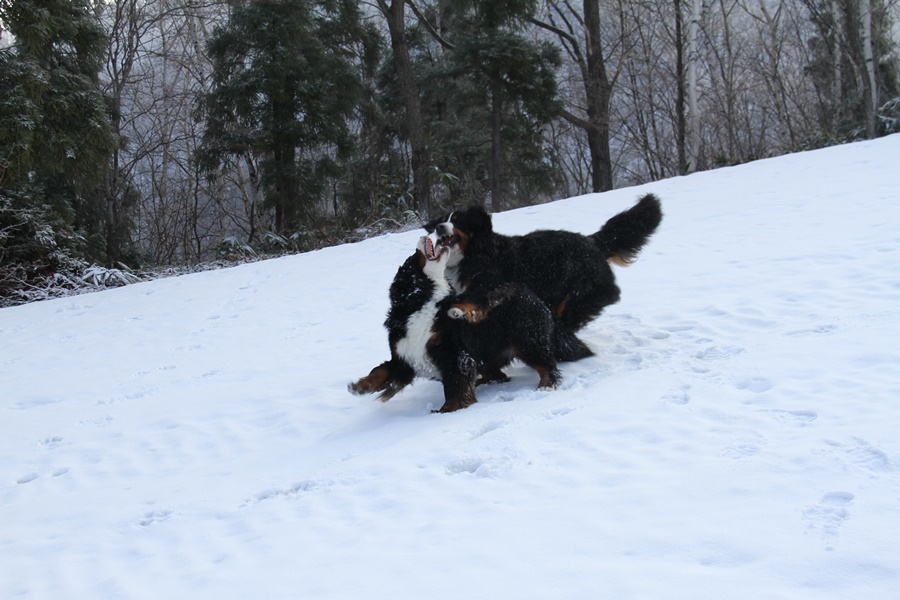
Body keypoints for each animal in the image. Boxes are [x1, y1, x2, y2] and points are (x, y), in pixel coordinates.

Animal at [348, 234, 560, 412]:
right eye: (413, 258)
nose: (423, 235)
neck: (420, 303)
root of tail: (527, 292)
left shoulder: (453, 354)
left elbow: (454, 388)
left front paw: (448, 411)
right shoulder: (404, 357)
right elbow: (380, 371)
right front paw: (358, 386)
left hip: (526, 341)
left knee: (546, 366)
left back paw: (545, 386)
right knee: (496, 374)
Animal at [422, 195, 660, 358]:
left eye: (458, 221)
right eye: (443, 220)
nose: (439, 226)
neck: (474, 253)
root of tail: (592, 241)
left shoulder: (494, 284)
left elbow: (476, 299)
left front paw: (458, 311)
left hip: (582, 292)